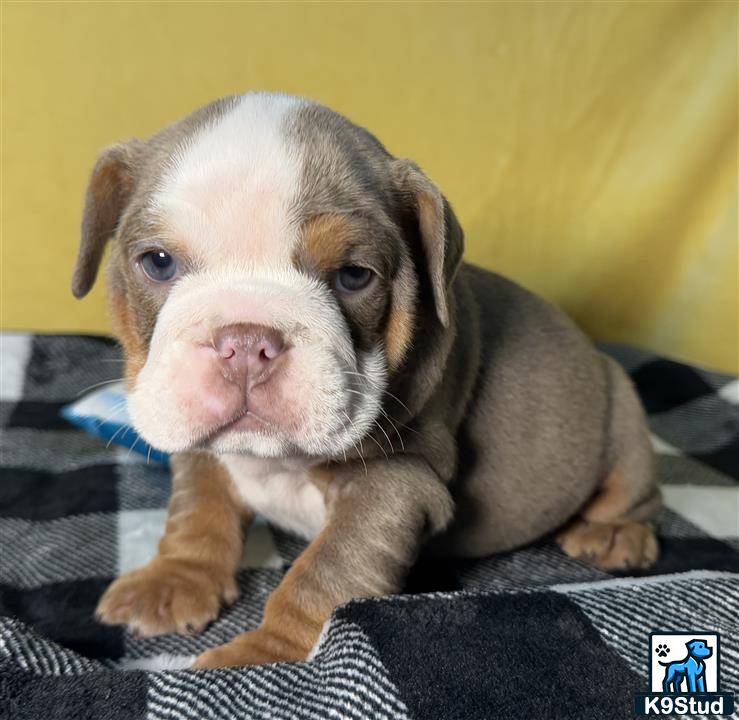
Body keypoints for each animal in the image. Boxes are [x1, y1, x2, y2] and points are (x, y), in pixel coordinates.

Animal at [75, 93, 660, 668]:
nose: (245, 341)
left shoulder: (394, 484)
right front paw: (174, 579)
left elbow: (323, 575)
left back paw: (614, 531)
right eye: (158, 263)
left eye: (354, 276)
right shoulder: (202, 449)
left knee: (633, 484)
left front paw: (262, 660)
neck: (271, 460)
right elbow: (198, 512)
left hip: (624, 411)